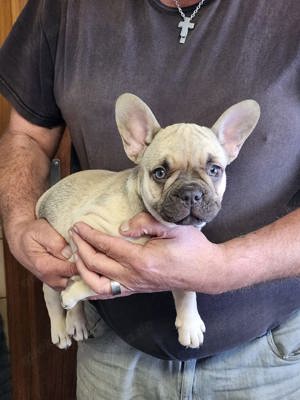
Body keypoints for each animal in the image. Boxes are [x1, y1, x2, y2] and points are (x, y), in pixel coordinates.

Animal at [35, 92, 260, 348]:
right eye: (160, 173)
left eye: (215, 170)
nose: (191, 193)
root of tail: (46, 195)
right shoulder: (85, 228)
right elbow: (103, 273)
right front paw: (74, 292)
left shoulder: (182, 261)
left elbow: (185, 289)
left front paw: (190, 323)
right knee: (50, 291)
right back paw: (61, 327)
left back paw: (76, 320)